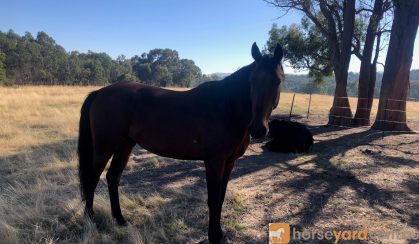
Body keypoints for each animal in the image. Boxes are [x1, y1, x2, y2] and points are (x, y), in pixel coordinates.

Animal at [78, 43, 286, 243]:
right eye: (252, 81)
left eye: (277, 81)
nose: (258, 129)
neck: (227, 108)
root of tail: (100, 92)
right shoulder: (214, 162)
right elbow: (213, 200)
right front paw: (213, 237)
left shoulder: (229, 162)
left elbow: (220, 198)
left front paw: (220, 234)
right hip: (104, 148)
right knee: (92, 179)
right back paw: (90, 220)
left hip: (124, 146)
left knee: (113, 177)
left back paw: (120, 220)